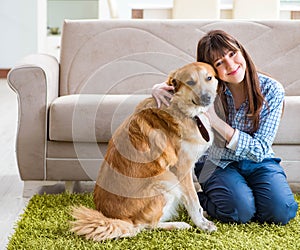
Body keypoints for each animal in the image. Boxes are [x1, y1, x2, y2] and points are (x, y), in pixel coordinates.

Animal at [71, 61, 219, 241]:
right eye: (190, 82)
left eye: (209, 78)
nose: (207, 98)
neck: (181, 108)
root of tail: (118, 219)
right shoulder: (181, 169)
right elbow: (193, 201)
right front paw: (203, 224)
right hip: (166, 181)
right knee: (145, 225)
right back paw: (178, 225)